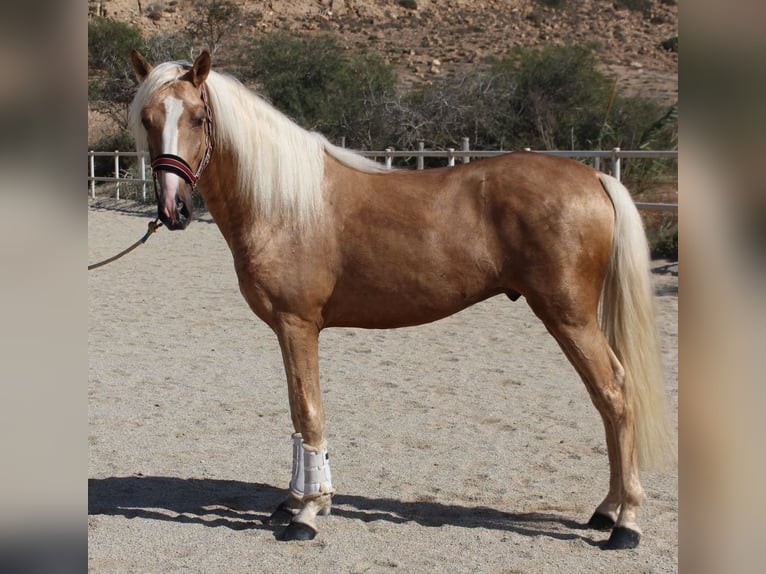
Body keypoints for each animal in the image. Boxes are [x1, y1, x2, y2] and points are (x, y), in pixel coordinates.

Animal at [129, 49, 676, 548]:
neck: (285, 205)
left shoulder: (297, 324)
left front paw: (307, 514)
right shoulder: (289, 331)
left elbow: (309, 410)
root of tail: (595, 177)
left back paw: (625, 523)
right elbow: (297, 412)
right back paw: (606, 511)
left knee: (614, 394)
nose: (173, 209)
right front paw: (299, 500)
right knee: (606, 399)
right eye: (148, 118)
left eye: (198, 118)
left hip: (569, 316)